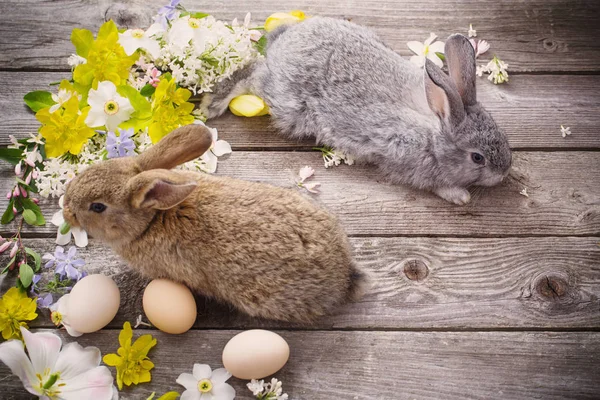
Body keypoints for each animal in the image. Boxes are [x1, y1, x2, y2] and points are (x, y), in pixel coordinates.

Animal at [203, 17, 510, 205]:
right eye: (477, 157)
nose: (505, 172)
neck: (435, 129)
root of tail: (284, 40)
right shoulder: (406, 161)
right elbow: (431, 183)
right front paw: (459, 195)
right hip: (284, 101)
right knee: (253, 73)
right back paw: (213, 104)